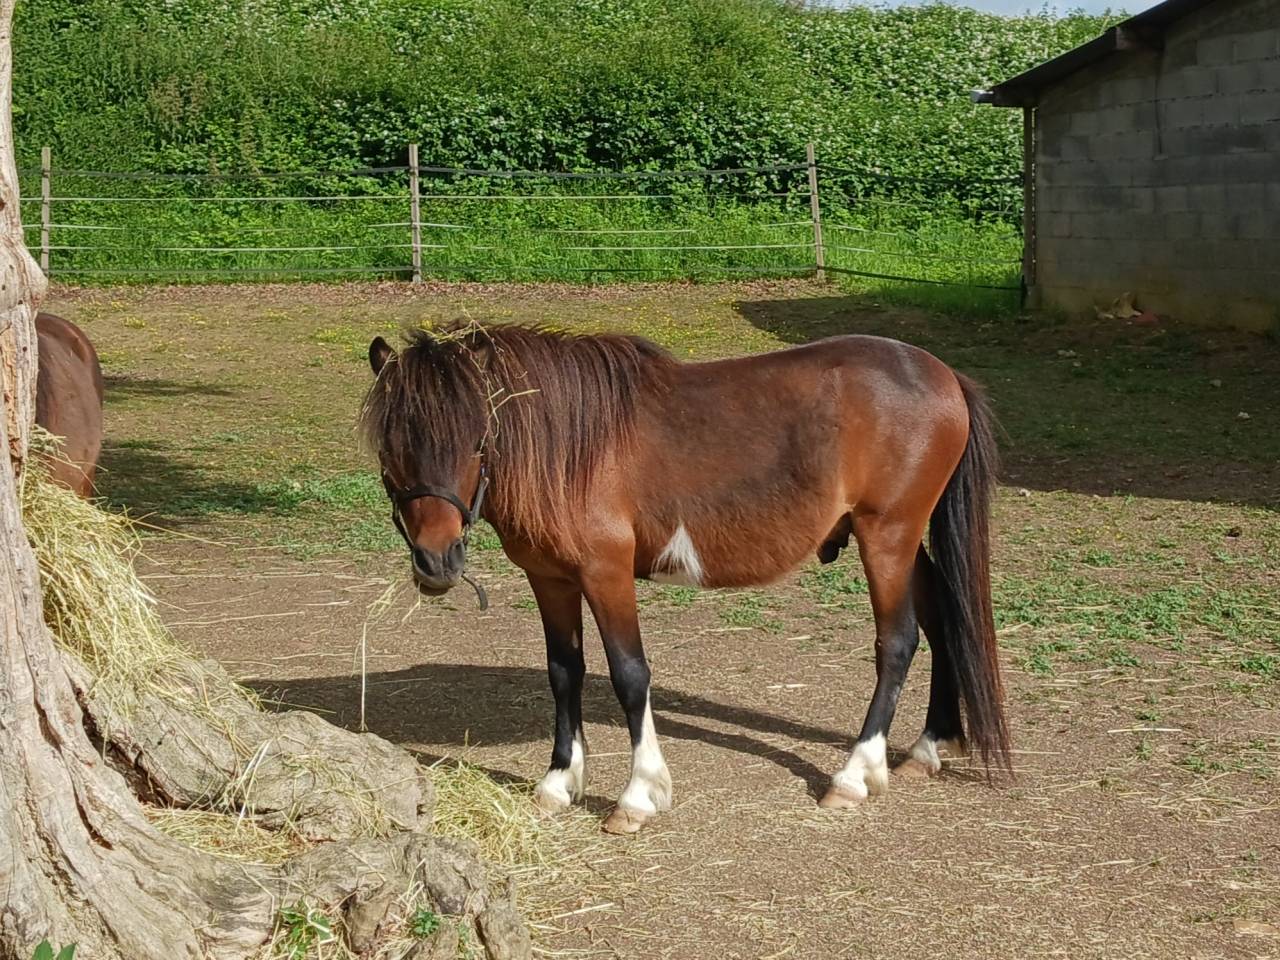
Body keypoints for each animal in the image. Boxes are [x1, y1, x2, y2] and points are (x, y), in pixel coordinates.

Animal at [361, 322, 1009, 834]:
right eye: (389, 449)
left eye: (477, 439)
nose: (436, 563)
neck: (569, 445)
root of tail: (942, 374)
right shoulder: (551, 579)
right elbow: (564, 672)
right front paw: (557, 783)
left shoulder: (606, 573)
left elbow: (629, 675)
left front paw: (639, 795)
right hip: (904, 541)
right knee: (944, 623)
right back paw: (928, 746)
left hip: (887, 535)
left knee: (897, 642)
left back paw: (853, 775)